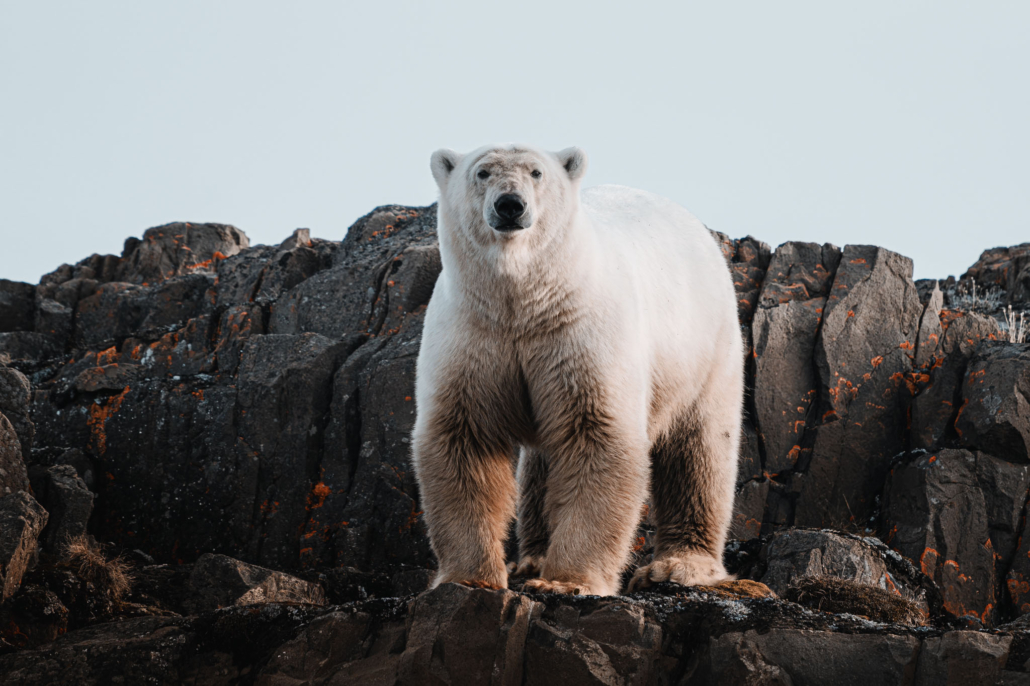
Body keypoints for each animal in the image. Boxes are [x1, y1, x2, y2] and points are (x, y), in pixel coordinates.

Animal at [411, 144, 743, 596]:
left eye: (536, 172)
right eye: (482, 172)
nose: (510, 204)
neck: (525, 303)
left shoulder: (580, 335)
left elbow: (596, 435)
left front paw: (566, 582)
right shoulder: (473, 337)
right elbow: (463, 438)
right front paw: (469, 578)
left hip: (705, 348)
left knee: (699, 449)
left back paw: (680, 565)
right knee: (540, 465)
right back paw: (532, 557)